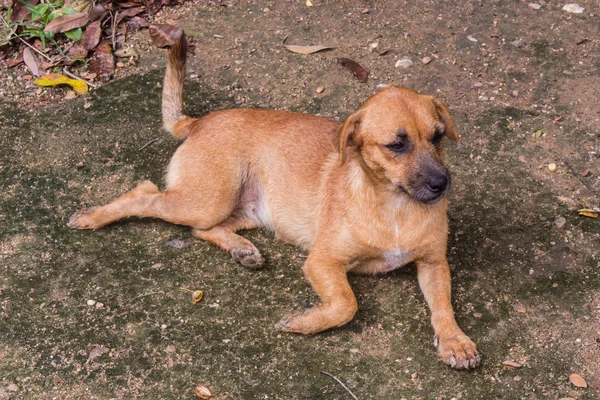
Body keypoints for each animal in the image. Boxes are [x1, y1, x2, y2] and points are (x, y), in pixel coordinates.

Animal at [67, 34, 478, 368]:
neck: (395, 205)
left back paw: (241, 249)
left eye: (438, 137)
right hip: (206, 197)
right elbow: (347, 304)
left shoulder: (433, 263)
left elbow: (444, 306)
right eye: (396, 145)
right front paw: (305, 322)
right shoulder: (323, 262)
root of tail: (199, 121)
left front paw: (455, 341)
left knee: (203, 229)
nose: (442, 184)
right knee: (145, 193)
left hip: (246, 210)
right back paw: (93, 217)